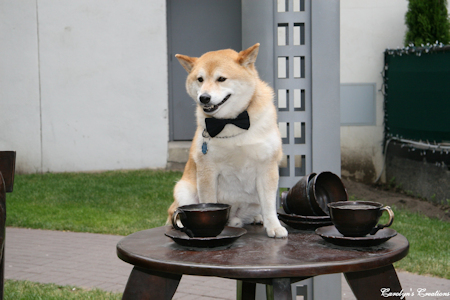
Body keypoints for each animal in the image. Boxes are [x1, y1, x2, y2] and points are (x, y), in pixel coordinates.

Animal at [167, 43, 286, 238]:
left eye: (221, 79)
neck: (230, 122)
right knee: (173, 212)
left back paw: (256, 218)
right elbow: (208, 202)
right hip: (184, 189)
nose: (204, 97)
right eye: (200, 79)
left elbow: (269, 206)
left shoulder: (266, 166)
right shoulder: (208, 170)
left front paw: (274, 226)